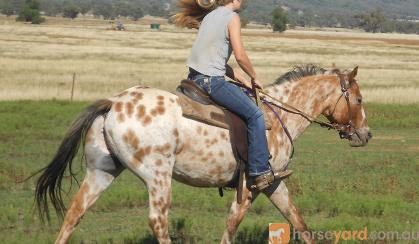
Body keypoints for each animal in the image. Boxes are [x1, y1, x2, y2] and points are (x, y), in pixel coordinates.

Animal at [34, 63, 372, 243]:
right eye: (358, 99)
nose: (366, 134)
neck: (279, 117)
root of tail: (114, 103)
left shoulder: (274, 183)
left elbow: (298, 221)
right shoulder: (251, 187)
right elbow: (231, 225)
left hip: (101, 171)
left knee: (74, 212)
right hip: (158, 177)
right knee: (158, 221)